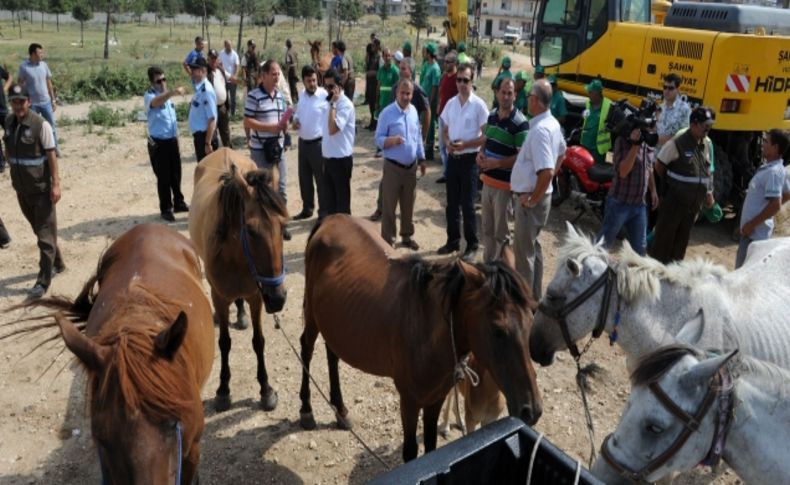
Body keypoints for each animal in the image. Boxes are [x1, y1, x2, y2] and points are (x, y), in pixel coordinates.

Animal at [188, 148, 288, 412]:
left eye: (283, 226)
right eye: (250, 230)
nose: (278, 298)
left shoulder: (256, 296)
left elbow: (259, 341)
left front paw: (266, 389)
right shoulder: (220, 297)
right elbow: (224, 342)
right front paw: (223, 390)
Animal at [298, 216, 544, 462]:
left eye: (532, 317)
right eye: (497, 330)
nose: (532, 410)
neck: (425, 331)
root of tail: (330, 219)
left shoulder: (435, 399)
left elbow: (431, 446)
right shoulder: (409, 401)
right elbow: (410, 452)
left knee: (332, 354)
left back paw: (340, 410)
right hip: (313, 315)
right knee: (306, 349)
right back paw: (306, 410)